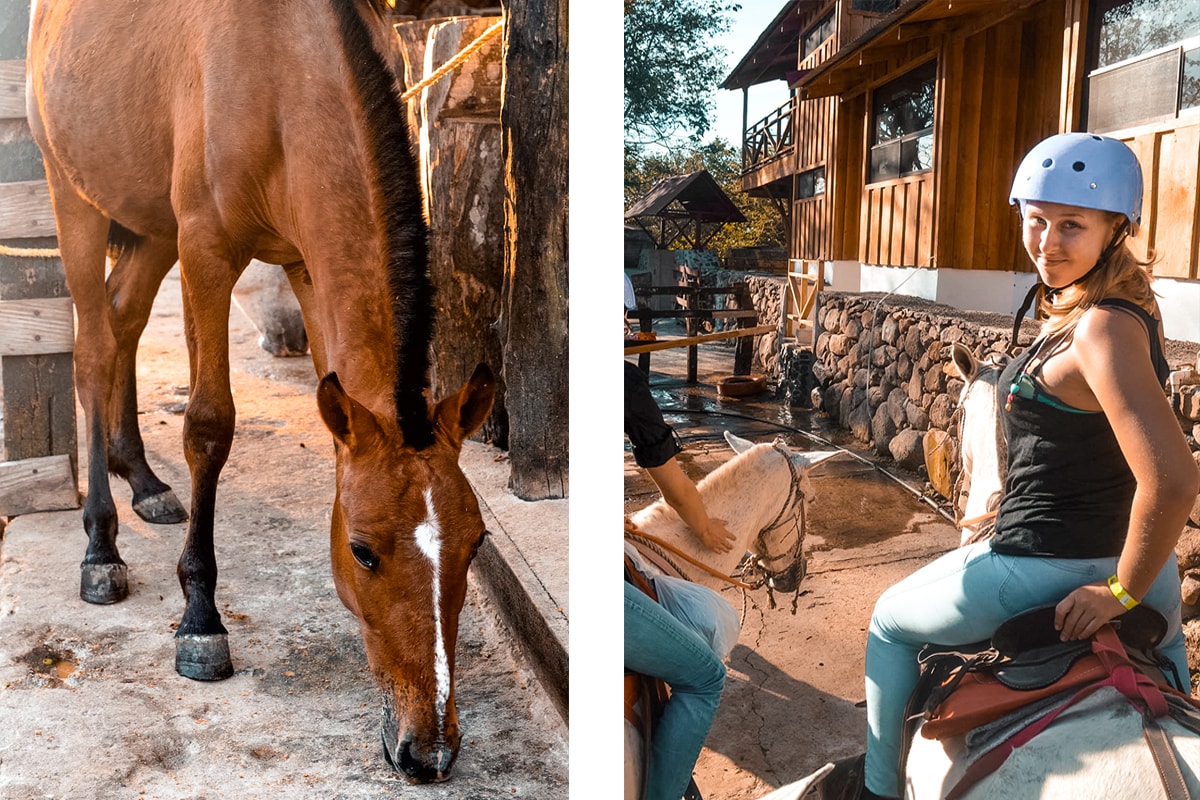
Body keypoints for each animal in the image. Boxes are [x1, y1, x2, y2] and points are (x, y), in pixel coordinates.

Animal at [27, 0, 494, 782]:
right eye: (363, 551)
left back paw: (143, 479)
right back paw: (101, 548)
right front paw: (200, 621)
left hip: (151, 226)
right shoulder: (207, 252)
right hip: (76, 199)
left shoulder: (305, 263)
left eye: (475, 545)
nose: (428, 749)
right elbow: (209, 425)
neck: (283, 72)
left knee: (124, 321)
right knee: (93, 350)